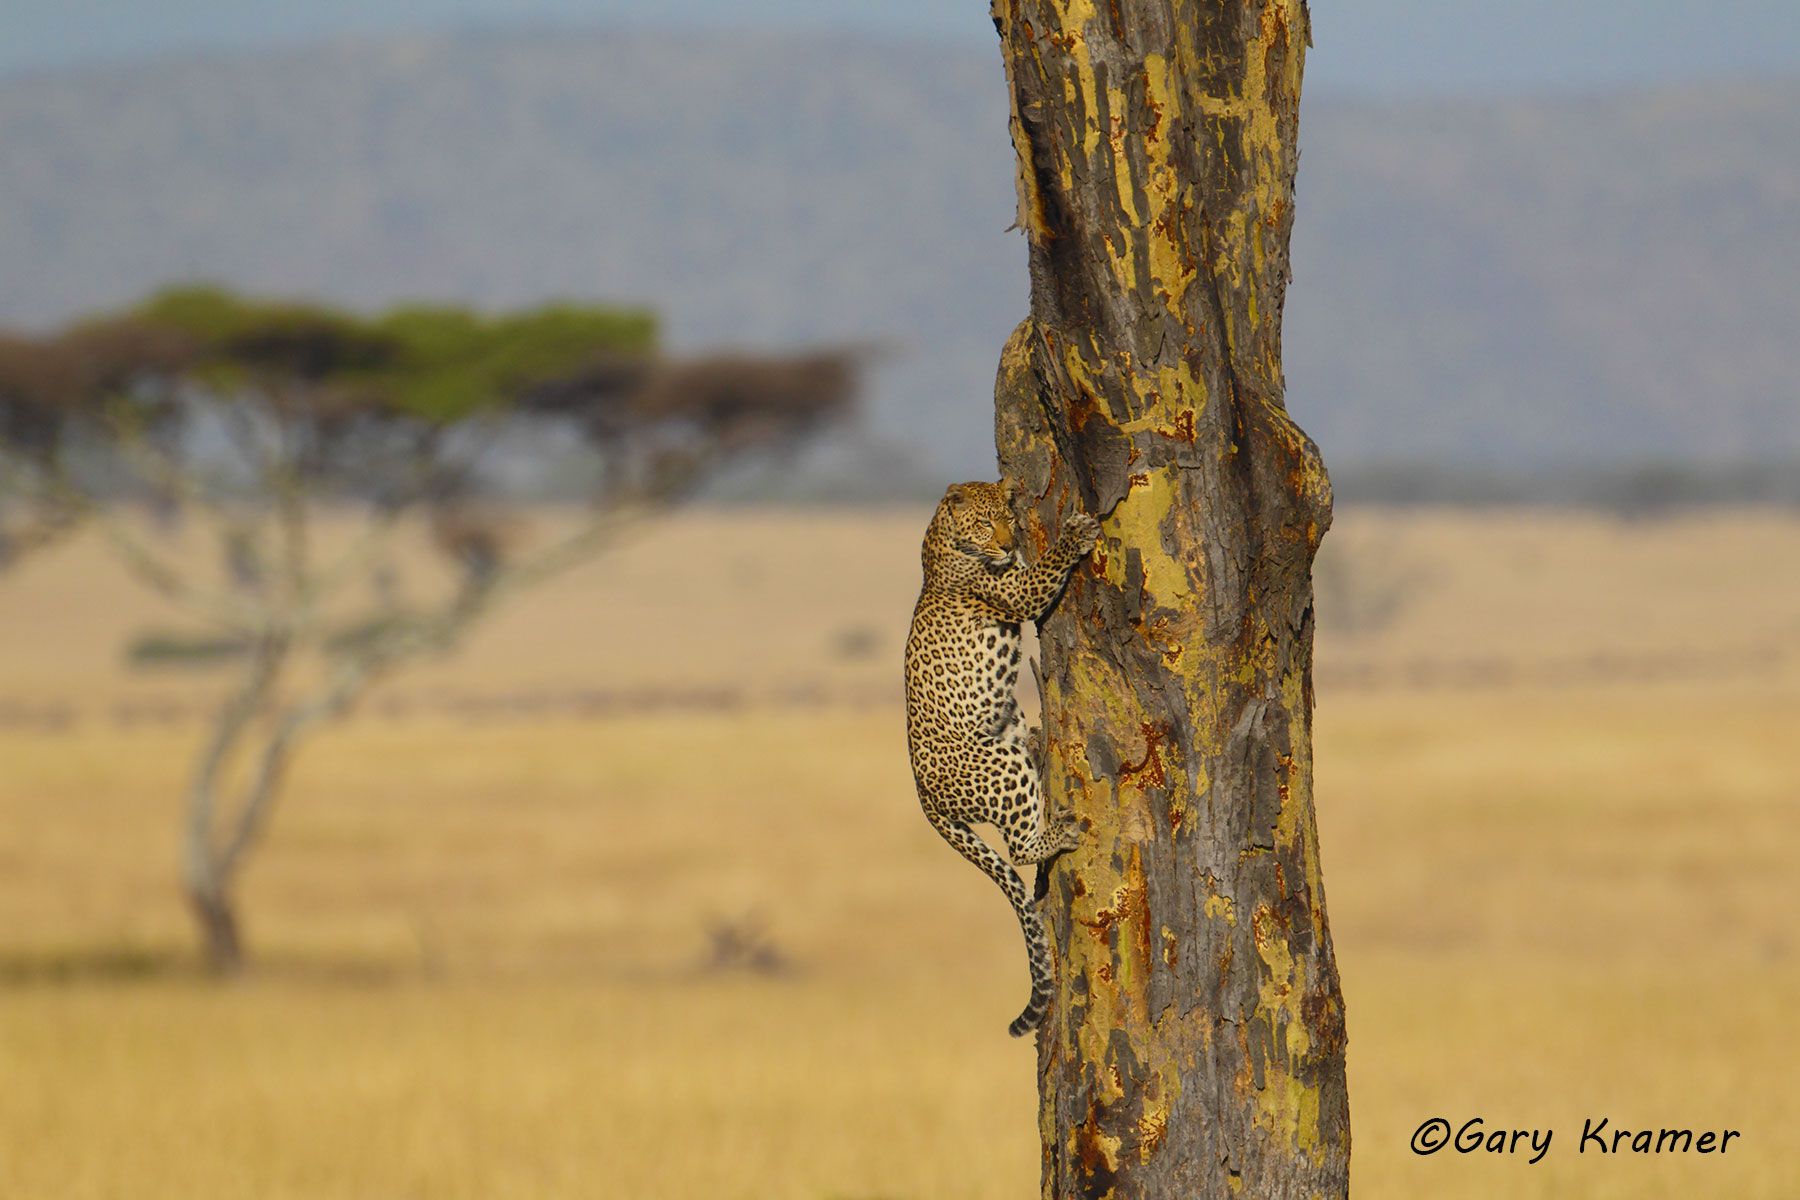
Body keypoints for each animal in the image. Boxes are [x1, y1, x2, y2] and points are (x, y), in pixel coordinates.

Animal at [904, 479, 1100, 1037]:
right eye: (984, 523)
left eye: (1008, 519)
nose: (1009, 543)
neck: (942, 537)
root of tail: (923, 795)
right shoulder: (1015, 591)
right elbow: (1044, 570)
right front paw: (1075, 533)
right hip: (998, 766)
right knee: (1017, 848)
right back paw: (1058, 835)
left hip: (1006, 737)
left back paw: (1036, 740)